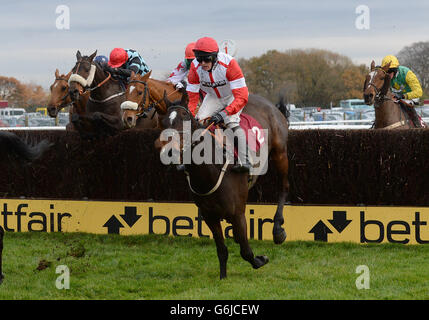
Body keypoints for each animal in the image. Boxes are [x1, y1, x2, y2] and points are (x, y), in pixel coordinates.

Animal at [155, 94, 290, 278]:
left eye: (185, 117)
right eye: (163, 122)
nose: (169, 151)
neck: (210, 171)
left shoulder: (237, 213)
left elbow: (245, 251)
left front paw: (260, 260)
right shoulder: (209, 216)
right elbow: (222, 250)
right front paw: (223, 277)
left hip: (280, 153)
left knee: (283, 188)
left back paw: (278, 230)